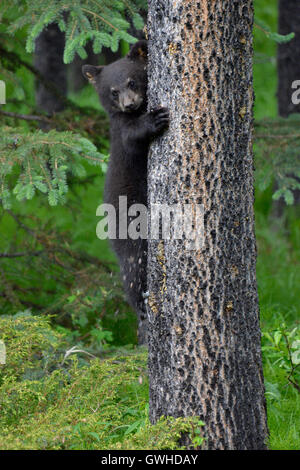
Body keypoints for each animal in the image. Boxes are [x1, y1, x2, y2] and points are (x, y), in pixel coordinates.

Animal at [82, 40, 170, 344]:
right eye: (113, 91)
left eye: (132, 81)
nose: (130, 104)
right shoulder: (121, 133)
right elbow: (132, 135)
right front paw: (156, 117)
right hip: (131, 231)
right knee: (133, 271)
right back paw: (142, 310)